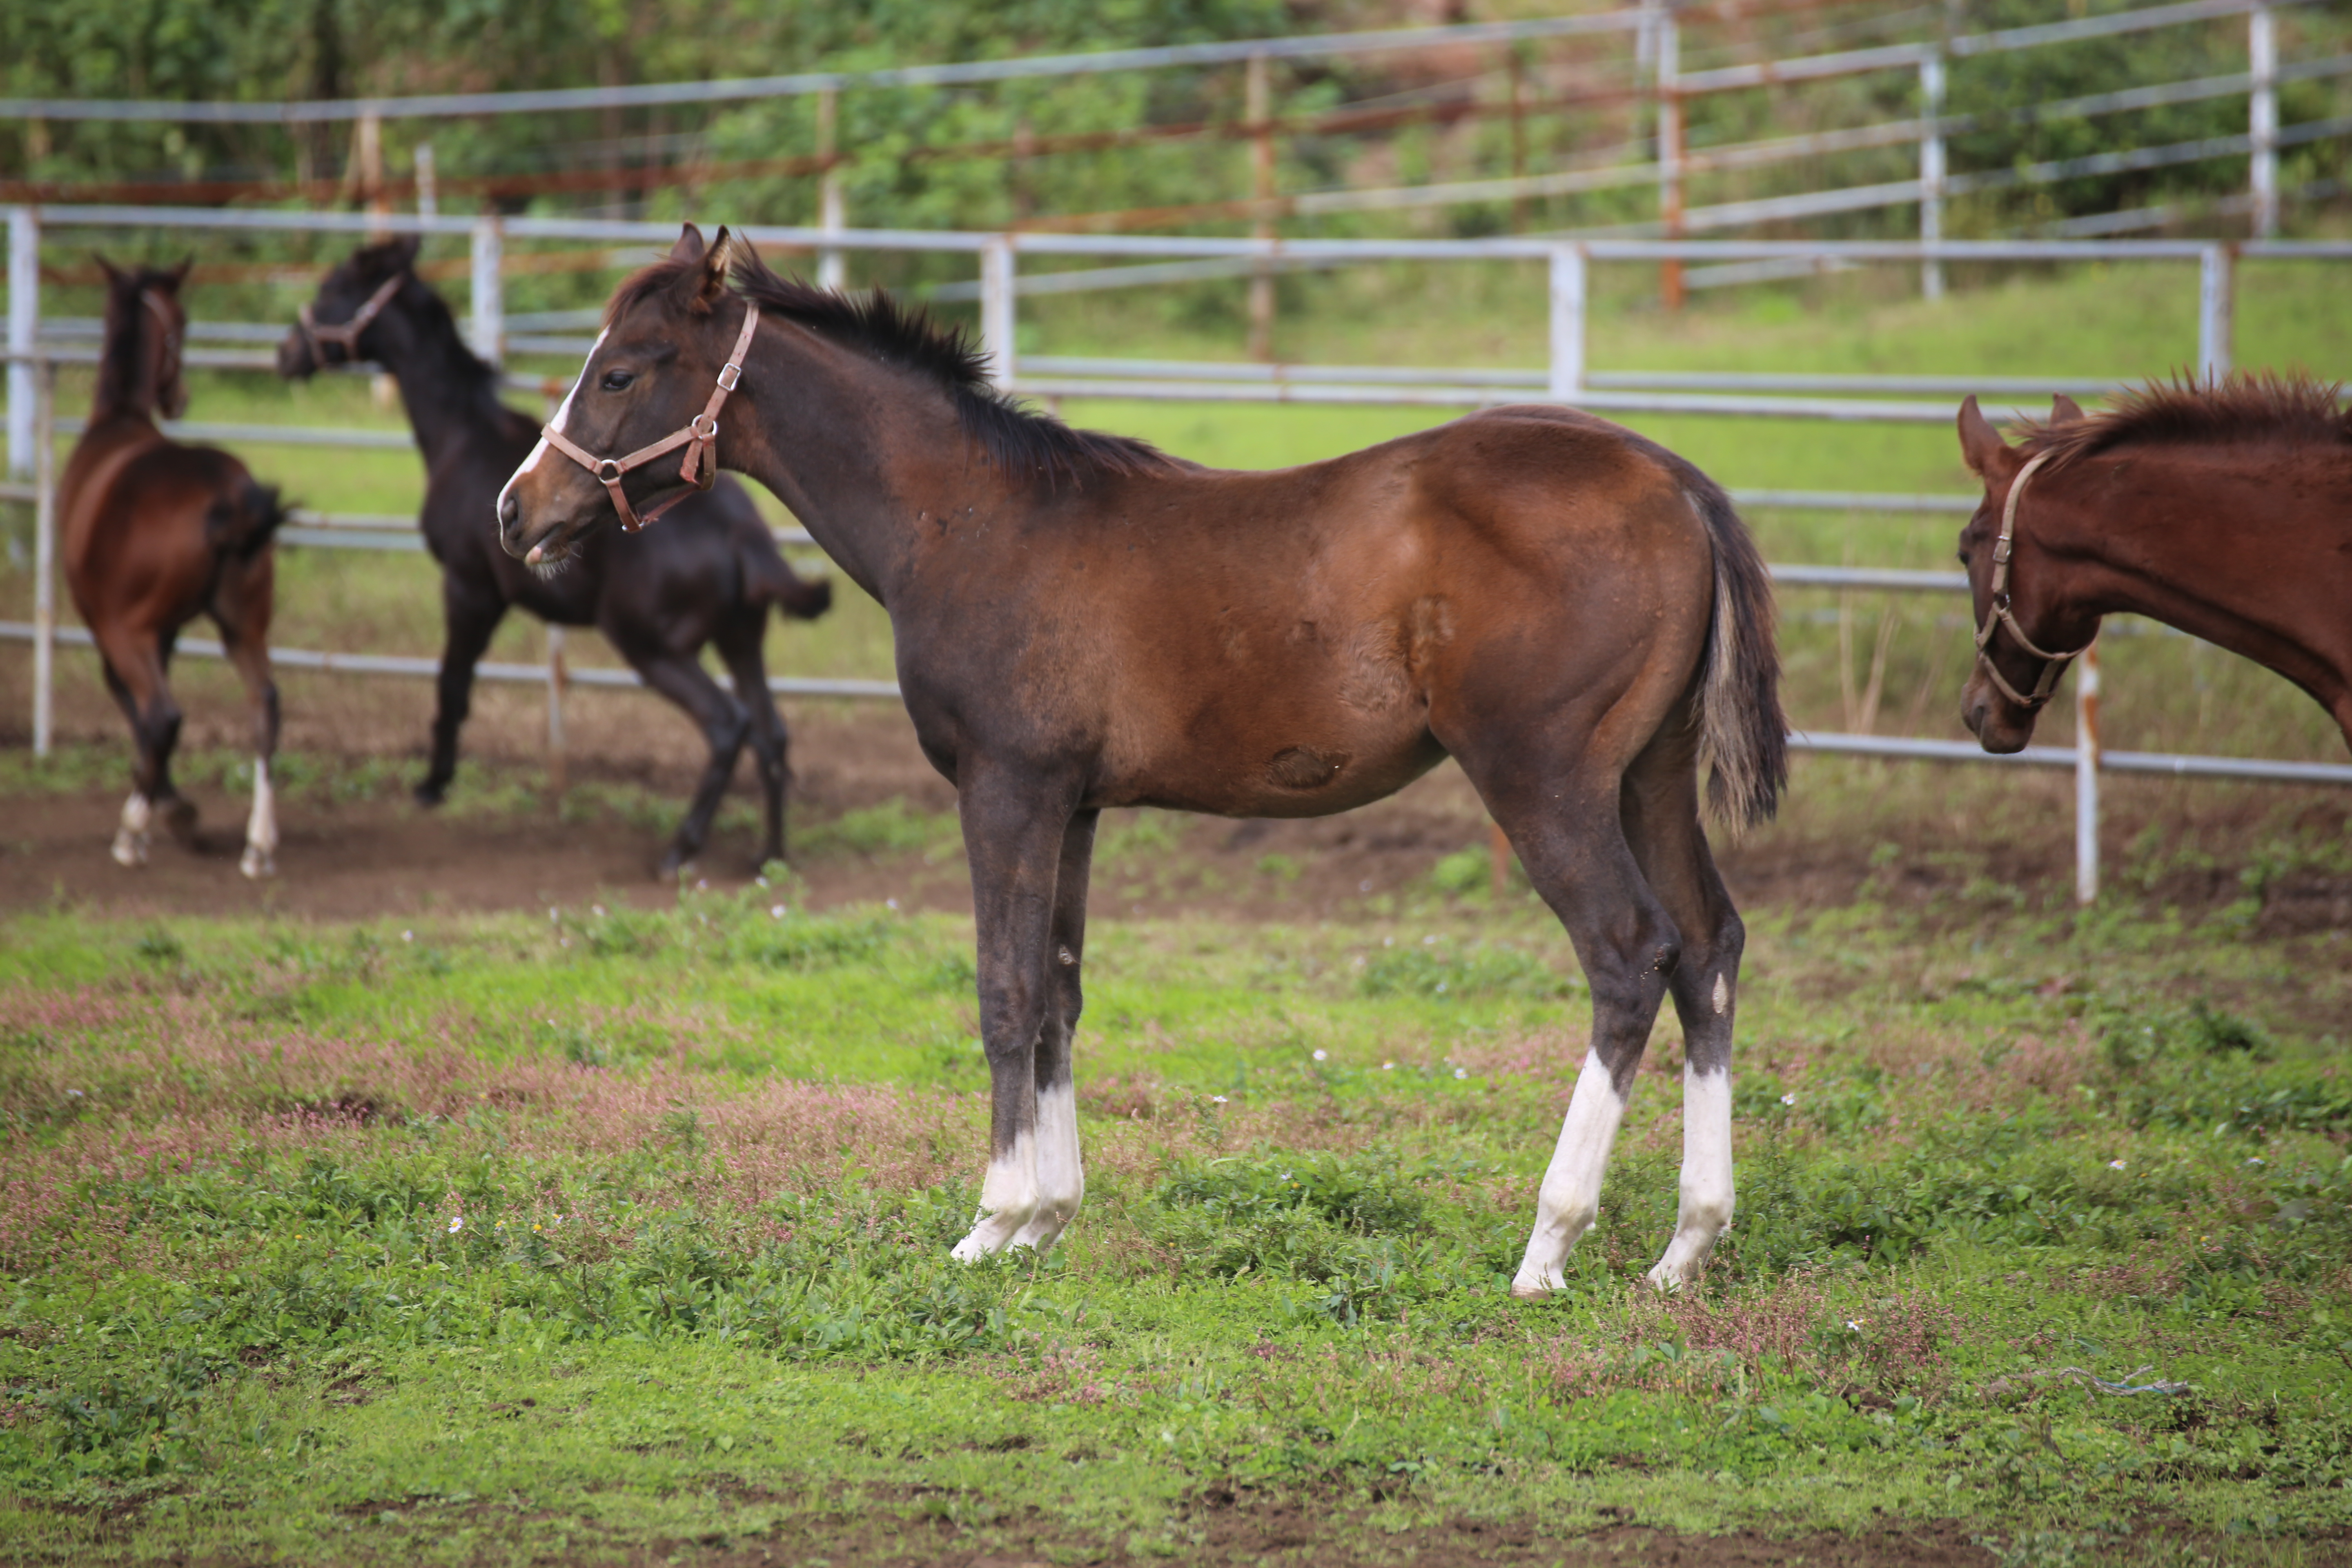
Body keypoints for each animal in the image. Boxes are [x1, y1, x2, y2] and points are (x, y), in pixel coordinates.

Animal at [62, 252, 284, 879]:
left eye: (182, 323)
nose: (179, 398)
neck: (117, 419)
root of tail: (227, 496)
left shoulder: (114, 627)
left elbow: (131, 706)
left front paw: (170, 805)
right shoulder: (168, 632)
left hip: (129, 630)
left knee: (163, 714)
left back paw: (133, 830)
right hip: (242, 624)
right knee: (266, 703)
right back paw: (259, 843)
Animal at [277, 236, 837, 870]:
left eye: (331, 289)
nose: (286, 352)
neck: (462, 436)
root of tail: (743, 533)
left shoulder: (470, 588)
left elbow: (453, 682)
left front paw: (434, 783)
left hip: (652, 644)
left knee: (726, 724)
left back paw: (683, 847)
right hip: (740, 638)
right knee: (772, 730)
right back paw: (770, 855)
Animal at [491, 227, 1778, 1297]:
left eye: (622, 372)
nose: (516, 511)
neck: (967, 521)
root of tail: (1675, 483)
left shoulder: (1004, 787)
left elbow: (1004, 990)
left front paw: (988, 1222)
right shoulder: (1073, 804)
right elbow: (1059, 988)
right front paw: (1046, 1217)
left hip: (1543, 777)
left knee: (1628, 954)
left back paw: (1549, 1245)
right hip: (1645, 775)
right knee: (1707, 947)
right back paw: (1687, 1246)